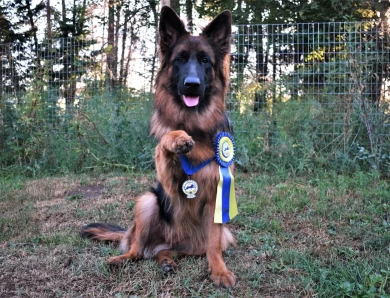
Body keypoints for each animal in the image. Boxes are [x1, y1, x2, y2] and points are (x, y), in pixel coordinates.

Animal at [80, 6, 236, 286]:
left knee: (168, 250)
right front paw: (176, 138)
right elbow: (165, 141)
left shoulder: (218, 197)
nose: (192, 84)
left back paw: (167, 261)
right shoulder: (169, 182)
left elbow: (214, 247)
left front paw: (219, 271)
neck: (193, 123)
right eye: (180, 59)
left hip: (205, 237)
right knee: (139, 251)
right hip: (148, 201)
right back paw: (126, 258)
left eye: (205, 61)